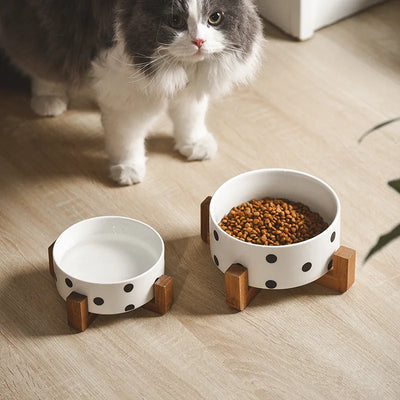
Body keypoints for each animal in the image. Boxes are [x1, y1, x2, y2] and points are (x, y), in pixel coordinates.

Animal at [0, 0, 262, 184]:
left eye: (215, 18)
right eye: (175, 20)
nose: (199, 42)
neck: (180, 68)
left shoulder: (189, 92)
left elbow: (190, 117)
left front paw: (195, 144)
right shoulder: (127, 98)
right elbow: (127, 139)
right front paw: (128, 170)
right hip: (46, 27)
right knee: (39, 61)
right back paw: (49, 99)